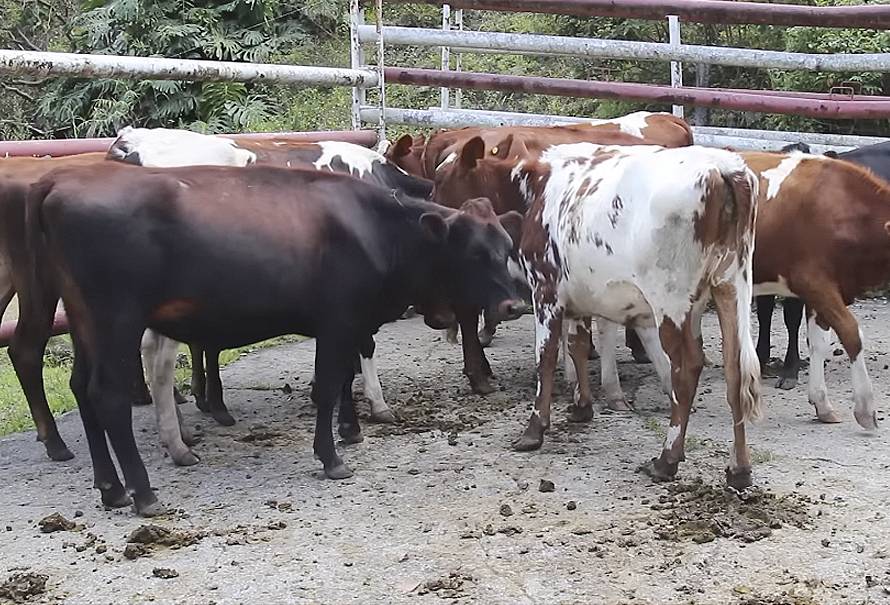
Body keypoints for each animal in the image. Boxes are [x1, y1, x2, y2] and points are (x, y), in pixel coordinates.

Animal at [26, 162, 524, 515]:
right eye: (474, 253)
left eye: (507, 249)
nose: (513, 305)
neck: (375, 228)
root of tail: (60, 183)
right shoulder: (340, 320)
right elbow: (327, 387)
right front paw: (331, 456)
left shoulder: (345, 325)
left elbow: (344, 380)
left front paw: (350, 430)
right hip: (116, 321)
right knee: (108, 397)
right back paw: (143, 492)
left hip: (85, 323)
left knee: (82, 390)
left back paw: (111, 488)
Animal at [437, 138, 761, 487]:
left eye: (442, 179)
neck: (536, 184)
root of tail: (721, 167)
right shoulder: (579, 294)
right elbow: (577, 346)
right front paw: (582, 406)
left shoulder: (545, 289)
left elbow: (545, 358)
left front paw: (534, 430)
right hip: (731, 287)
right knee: (735, 370)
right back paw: (739, 470)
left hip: (671, 299)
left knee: (687, 368)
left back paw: (667, 460)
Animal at [745, 150, 888, 427]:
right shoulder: (812, 281)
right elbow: (851, 333)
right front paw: (865, 408)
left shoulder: (826, 290)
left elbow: (819, 342)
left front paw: (822, 404)